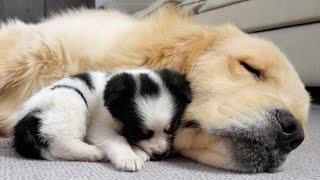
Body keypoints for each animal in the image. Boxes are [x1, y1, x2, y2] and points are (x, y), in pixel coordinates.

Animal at [11, 69, 192, 172]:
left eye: (172, 128)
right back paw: (97, 153)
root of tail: (22, 126)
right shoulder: (99, 127)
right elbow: (118, 139)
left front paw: (138, 152)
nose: (161, 155)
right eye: (138, 133)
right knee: (61, 144)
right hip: (71, 102)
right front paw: (129, 158)